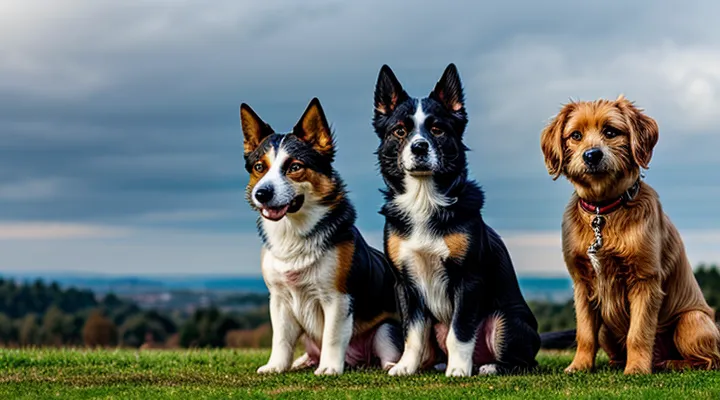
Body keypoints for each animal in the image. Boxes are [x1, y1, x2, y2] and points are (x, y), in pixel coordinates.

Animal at [240, 97, 402, 376]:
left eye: (295, 167)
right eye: (259, 167)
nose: (261, 194)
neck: (293, 232)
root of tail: (357, 361)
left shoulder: (337, 298)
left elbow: (333, 336)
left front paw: (329, 368)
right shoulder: (280, 300)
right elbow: (280, 339)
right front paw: (276, 366)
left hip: (386, 329)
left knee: (385, 350)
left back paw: (390, 366)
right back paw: (302, 362)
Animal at [372, 64, 540, 376]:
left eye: (437, 129)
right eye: (400, 131)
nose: (419, 147)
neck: (424, 199)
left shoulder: (468, 279)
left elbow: (460, 331)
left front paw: (459, 369)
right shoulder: (405, 283)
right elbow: (412, 333)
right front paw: (405, 366)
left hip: (506, 320)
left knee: (525, 362)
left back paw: (488, 367)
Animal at [540, 95, 720, 374]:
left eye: (610, 132)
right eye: (576, 135)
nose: (592, 155)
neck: (603, 210)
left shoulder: (645, 280)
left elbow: (639, 332)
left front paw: (636, 369)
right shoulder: (582, 283)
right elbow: (584, 334)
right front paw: (579, 366)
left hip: (692, 321)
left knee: (709, 360)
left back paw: (670, 362)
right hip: (607, 326)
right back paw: (619, 363)